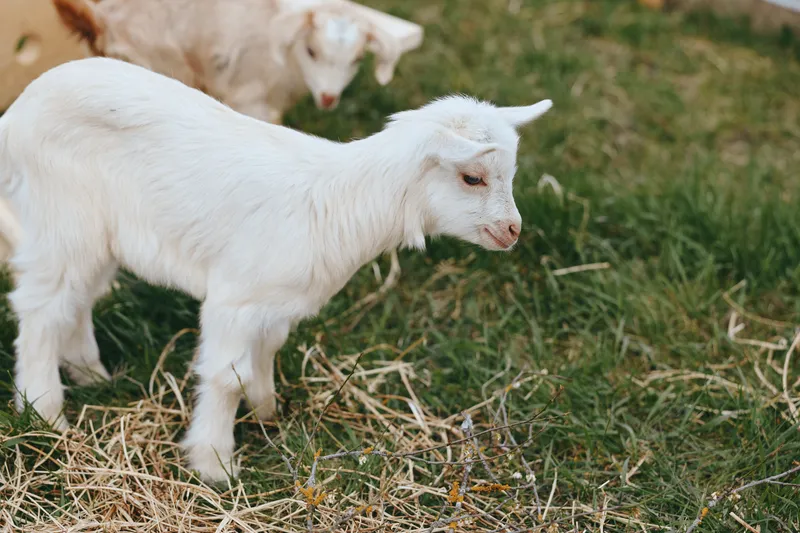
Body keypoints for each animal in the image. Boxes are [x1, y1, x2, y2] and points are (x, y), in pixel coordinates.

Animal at [0, 57, 552, 482]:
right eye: (472, 177)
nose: (513, 231)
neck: (340, 204)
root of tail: (19, 109)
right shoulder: (234, 298)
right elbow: (225, 377)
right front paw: (215, 465)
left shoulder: (274, 302)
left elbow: (264, 355)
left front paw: (267, 413)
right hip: (64, 215)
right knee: (41, 308)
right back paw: (44, 413)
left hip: (96, 234)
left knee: (77, 298)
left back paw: (90, 374)